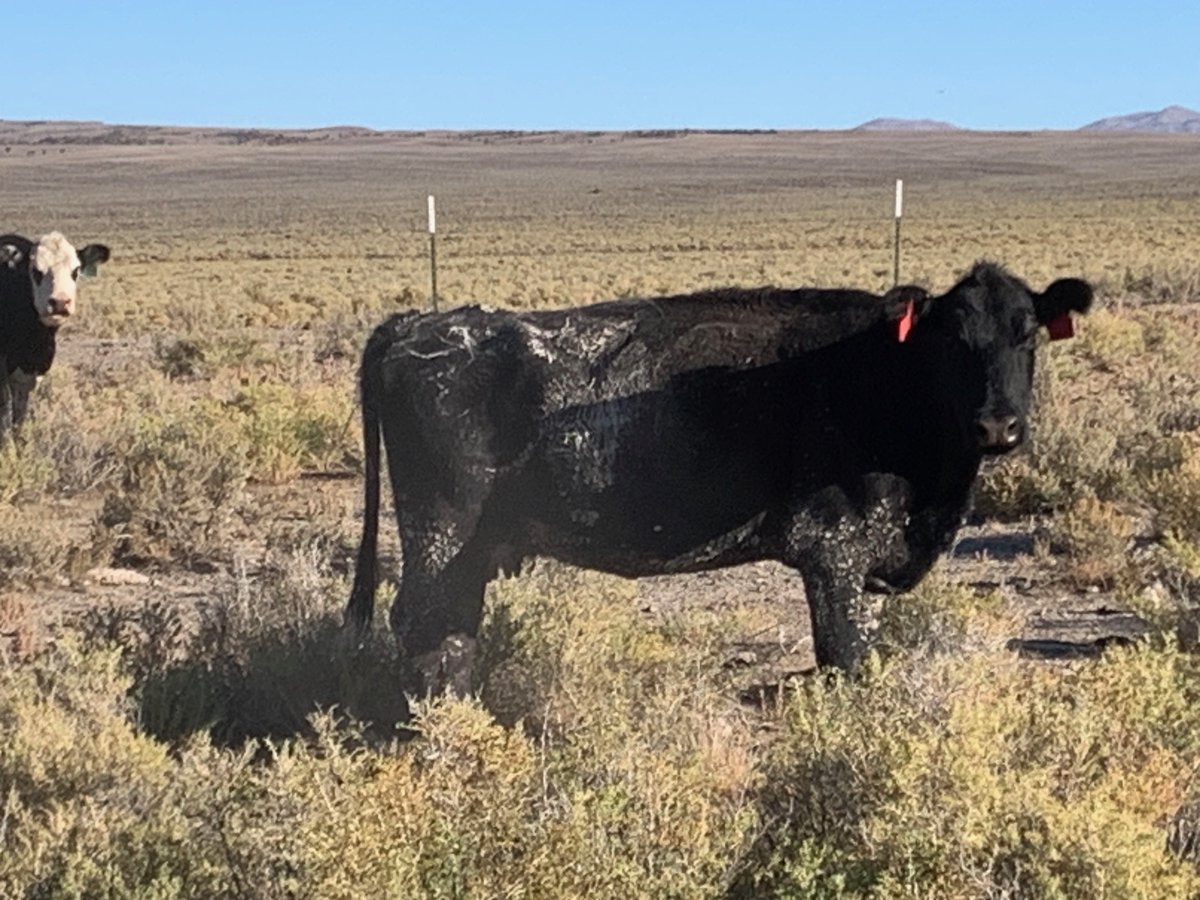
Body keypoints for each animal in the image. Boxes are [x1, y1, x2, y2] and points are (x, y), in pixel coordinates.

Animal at [346, 262, 1093, 694]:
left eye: (1027, 332)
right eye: (952, 340)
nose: (998, 426)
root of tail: (420, 324)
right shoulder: (833, 553)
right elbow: (844, 659)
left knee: (451, 634)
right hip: (443, 538)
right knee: (426, 632)